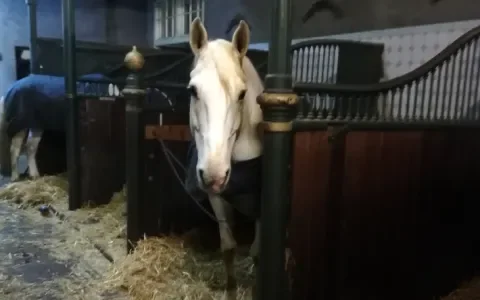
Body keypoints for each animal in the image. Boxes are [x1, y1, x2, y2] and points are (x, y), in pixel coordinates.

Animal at [188, 18, 262, 298]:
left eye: (242, 94)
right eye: (193, 91)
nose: (214, 174)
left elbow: (258, 253)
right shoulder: (218, 198)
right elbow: (229, 247)